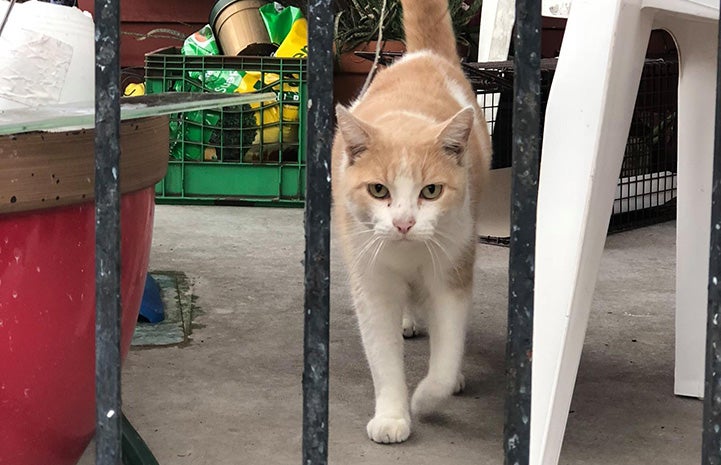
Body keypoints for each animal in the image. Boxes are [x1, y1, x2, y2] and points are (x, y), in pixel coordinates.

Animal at [330, 0, 490, 444]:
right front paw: (392, 415)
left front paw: (427, 399)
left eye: (431, 191)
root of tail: (423, 56)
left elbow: (447, 356)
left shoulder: (452, 275)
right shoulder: (372, 284)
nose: (403, 223)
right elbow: (383, 358)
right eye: (378, 190)